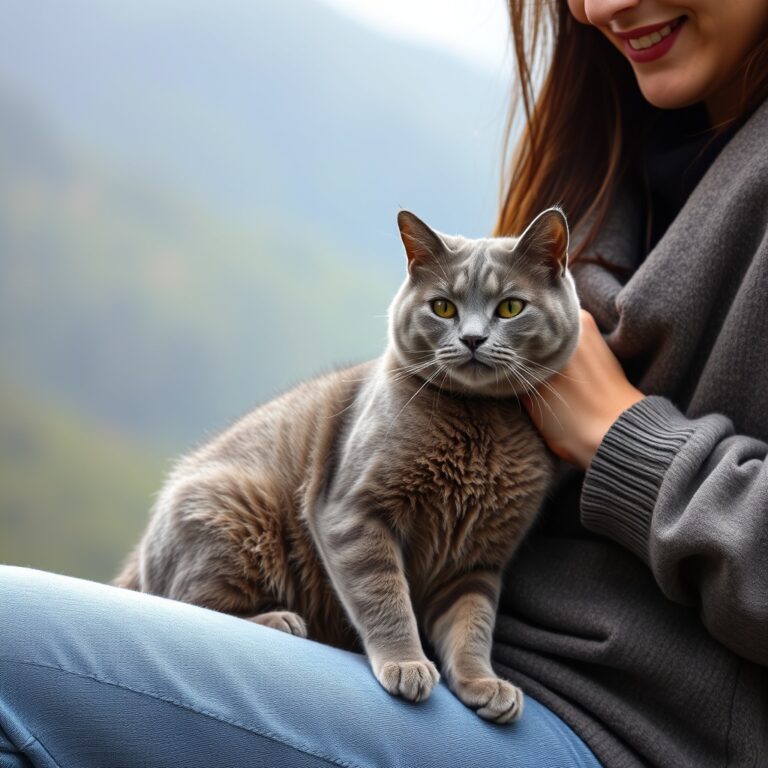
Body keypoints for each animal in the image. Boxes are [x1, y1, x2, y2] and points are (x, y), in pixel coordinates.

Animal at [117, 207, 580, 724]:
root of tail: (140, 554)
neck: (479, 424)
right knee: (183, 601)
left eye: (510, 307)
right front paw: (406, 663)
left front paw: (482, 682)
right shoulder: (353, 512)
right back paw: (279, 619)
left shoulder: (477, 561)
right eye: (443, 308)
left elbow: (472, 626)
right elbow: (385, 596)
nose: (473, 338)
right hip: (238, 512)